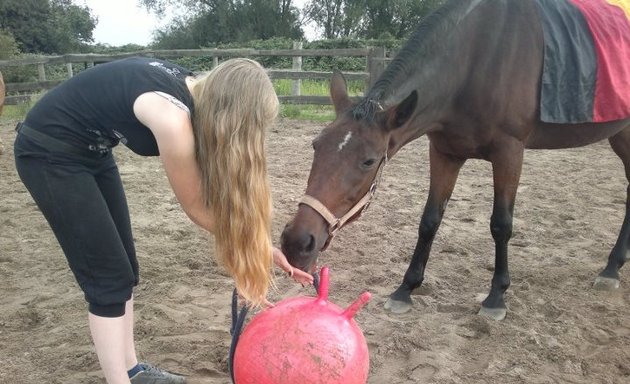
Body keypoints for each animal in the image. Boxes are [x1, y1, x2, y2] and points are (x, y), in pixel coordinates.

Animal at [282, 0, 630, 320]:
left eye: (368, 161)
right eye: (316, 145)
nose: (296, 242)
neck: (477, 58)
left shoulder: (509, 152)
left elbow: (501, 224)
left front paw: (496, 296)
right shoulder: (444, 153)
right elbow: (429, 220)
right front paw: (405, 289)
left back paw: (610, 269)